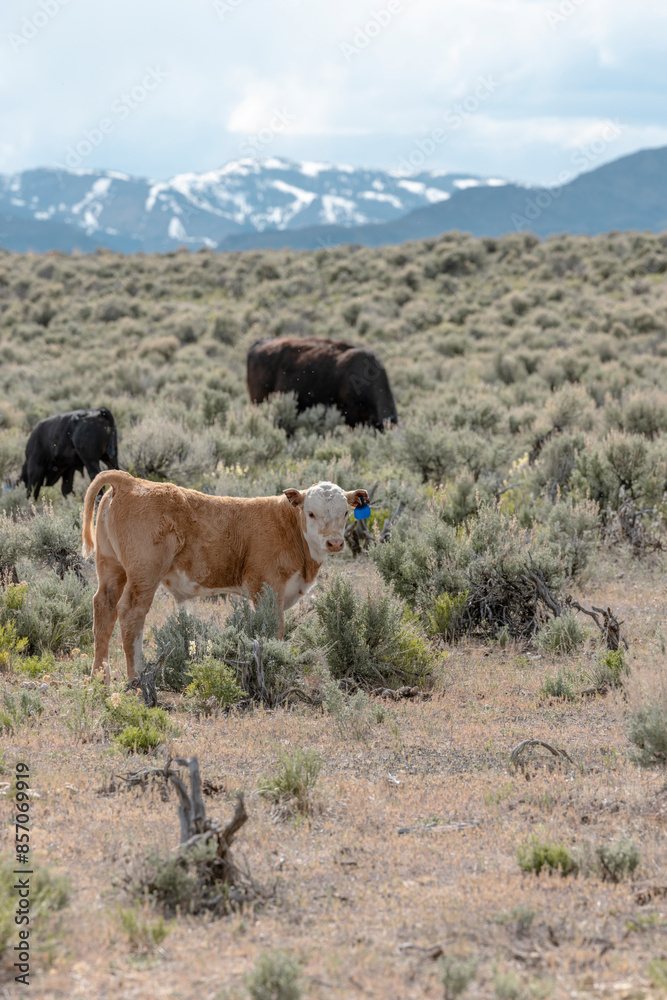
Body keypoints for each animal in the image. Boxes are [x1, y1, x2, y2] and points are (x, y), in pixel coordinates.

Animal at [81, 470, 369, 683]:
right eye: (311, 513)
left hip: (111, 568)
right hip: (144, 573)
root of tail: (130, 480)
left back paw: (99, 677)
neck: (289, 527)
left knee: (104, 609)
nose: (334, 542)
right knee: (131, 612)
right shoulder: (266, 588)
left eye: (345, 512)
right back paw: (136, 676)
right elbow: (275, 630)